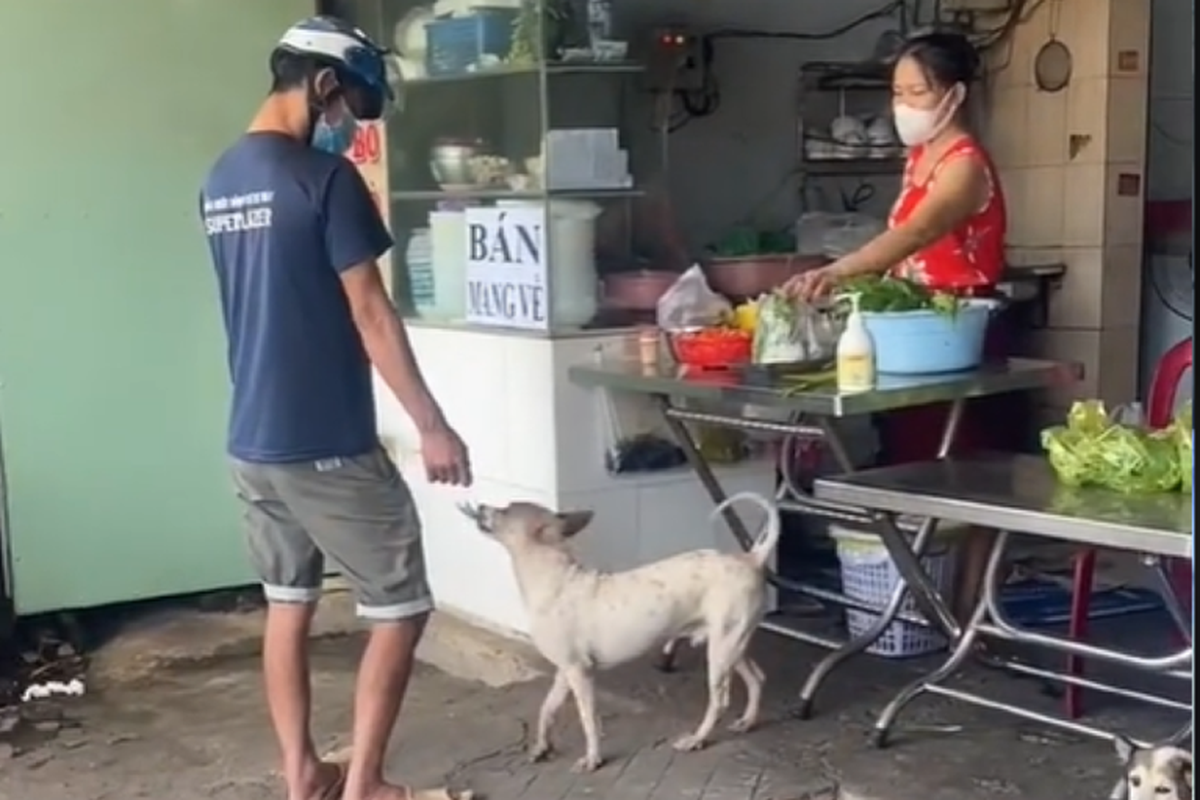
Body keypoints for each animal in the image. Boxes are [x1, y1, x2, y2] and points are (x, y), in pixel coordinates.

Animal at [456, 491, 777, 772]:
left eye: (506, 509)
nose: (480, 505)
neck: (554, 578)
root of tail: (752, 558)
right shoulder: (564, 672)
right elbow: (547, 709)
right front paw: (542, 746)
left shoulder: (580, 672)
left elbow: (589, 721)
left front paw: (593, 759)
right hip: (730, 644)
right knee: (758, 678)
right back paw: (748, 721)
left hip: (721, 651)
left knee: (720, 701)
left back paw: (697, 739)